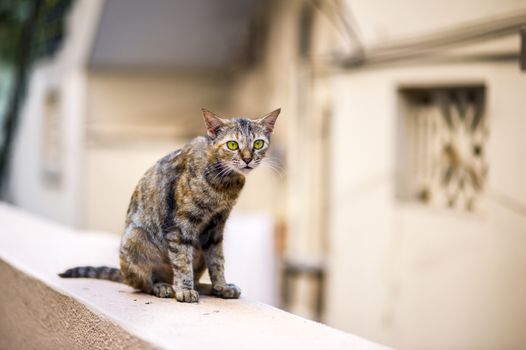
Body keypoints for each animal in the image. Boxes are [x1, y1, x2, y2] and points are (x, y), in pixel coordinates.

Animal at [58, 108, 280, 302]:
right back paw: (164, 287)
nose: (247, 159)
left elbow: (217, 261)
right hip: (135, 238)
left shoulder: (216, 227)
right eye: (232, 145)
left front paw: (221, 286)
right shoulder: (179, 226)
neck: (224, 183)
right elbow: (182, 262)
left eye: (258, 143)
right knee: (141, 284)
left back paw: (205, 287)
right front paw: (184, 290)